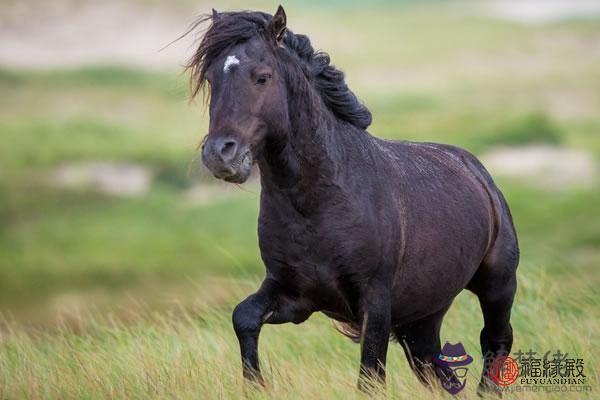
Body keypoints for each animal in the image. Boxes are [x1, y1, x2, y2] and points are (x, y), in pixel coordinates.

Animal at [186, 5, 516, 394]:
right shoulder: (296, 295)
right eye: (211, 79)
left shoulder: (374, 301)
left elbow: (370, 376)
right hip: (425, 313)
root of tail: (478, 173)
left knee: (495, 340)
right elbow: (244, 316)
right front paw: (256, 385)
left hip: (497, 284)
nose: (220, 154)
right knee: (434, 366)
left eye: (261, 77)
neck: (319, 202)